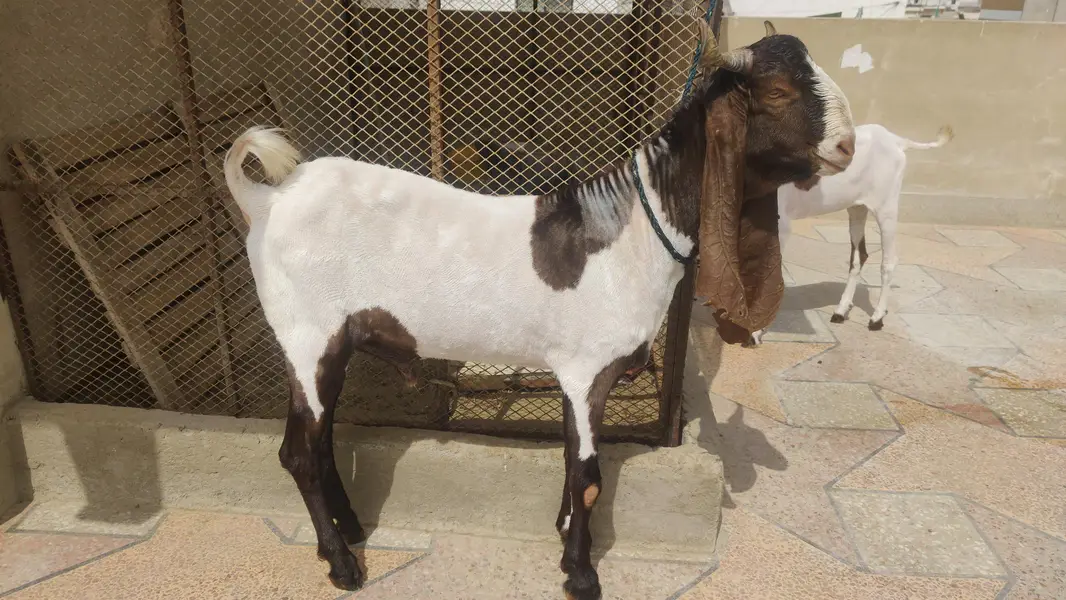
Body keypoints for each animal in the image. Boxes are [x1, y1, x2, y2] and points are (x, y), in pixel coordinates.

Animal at [223, 20, 854, 600]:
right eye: (777, 91)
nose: (847, 146)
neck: (631, 235)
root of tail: (266, 198)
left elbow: (576, 465)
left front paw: (565, 536)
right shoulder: (584, 369)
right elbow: (588, 475)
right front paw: (581, 573)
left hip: (324, 341)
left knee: (318, 441)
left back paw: (352, 529)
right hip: (310, 334)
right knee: (301, 453)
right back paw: (342, 563)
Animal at [746, 123, 953, 345]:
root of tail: (894, 139)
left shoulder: (780, 226)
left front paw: (756, 331)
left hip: (886, 208)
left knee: (888, 262)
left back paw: (877, 317)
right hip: (857, 209)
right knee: (859, 257)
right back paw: (842, 309)